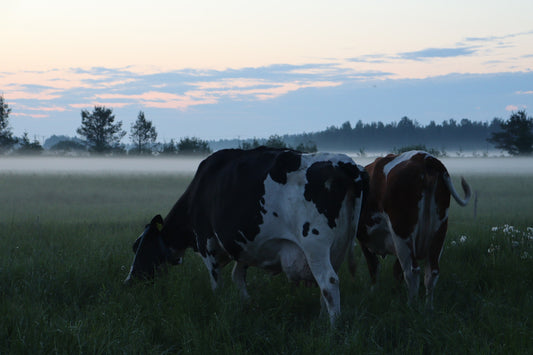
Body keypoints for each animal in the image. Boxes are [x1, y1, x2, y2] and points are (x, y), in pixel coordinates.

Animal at [124, 146, 366, 324]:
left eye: (140, 247)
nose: (129, 281)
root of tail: (343, 163)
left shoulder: (206, 242)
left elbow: (217, 283)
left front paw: (220, 305)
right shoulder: (244, 244)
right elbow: (237, 276)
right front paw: (246, 304)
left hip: (314, 244)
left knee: (329, 281)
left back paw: (333, 328)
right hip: (337, 246)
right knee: (326, 288)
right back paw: (322, 319)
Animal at [356, 150, 472, 308]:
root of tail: (425, 158)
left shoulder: (365, 239)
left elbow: (374, 267)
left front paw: (374, 293)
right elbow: (395, 270)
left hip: (402, 231)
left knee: (412, 272)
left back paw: (411, 306)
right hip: (439, 231)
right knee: (432, 272)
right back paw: (428, 307)